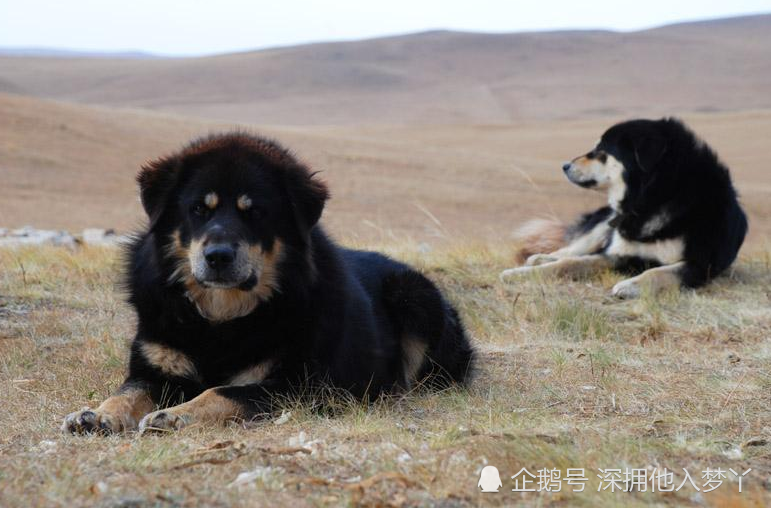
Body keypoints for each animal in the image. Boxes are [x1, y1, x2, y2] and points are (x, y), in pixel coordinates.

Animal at [63, 132, 474, 432]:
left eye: (256, 212)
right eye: (198, 209)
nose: (218, 256)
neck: (220, 319)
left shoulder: (292, 384)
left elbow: (221, 392)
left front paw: (176, 415)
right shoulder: (154, 369)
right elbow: (127, 392)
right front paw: (97, 413)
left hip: (413, 296)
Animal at [500, 117, 748, 298]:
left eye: (601, 152)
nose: (565, 165)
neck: (654, 196)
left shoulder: (699, 265)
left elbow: (657, 271)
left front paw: (631, 285)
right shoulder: (616, 254)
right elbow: (571, 262)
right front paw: (521, 273)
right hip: (604, 225)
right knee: (569, 251)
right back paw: (541, 259)